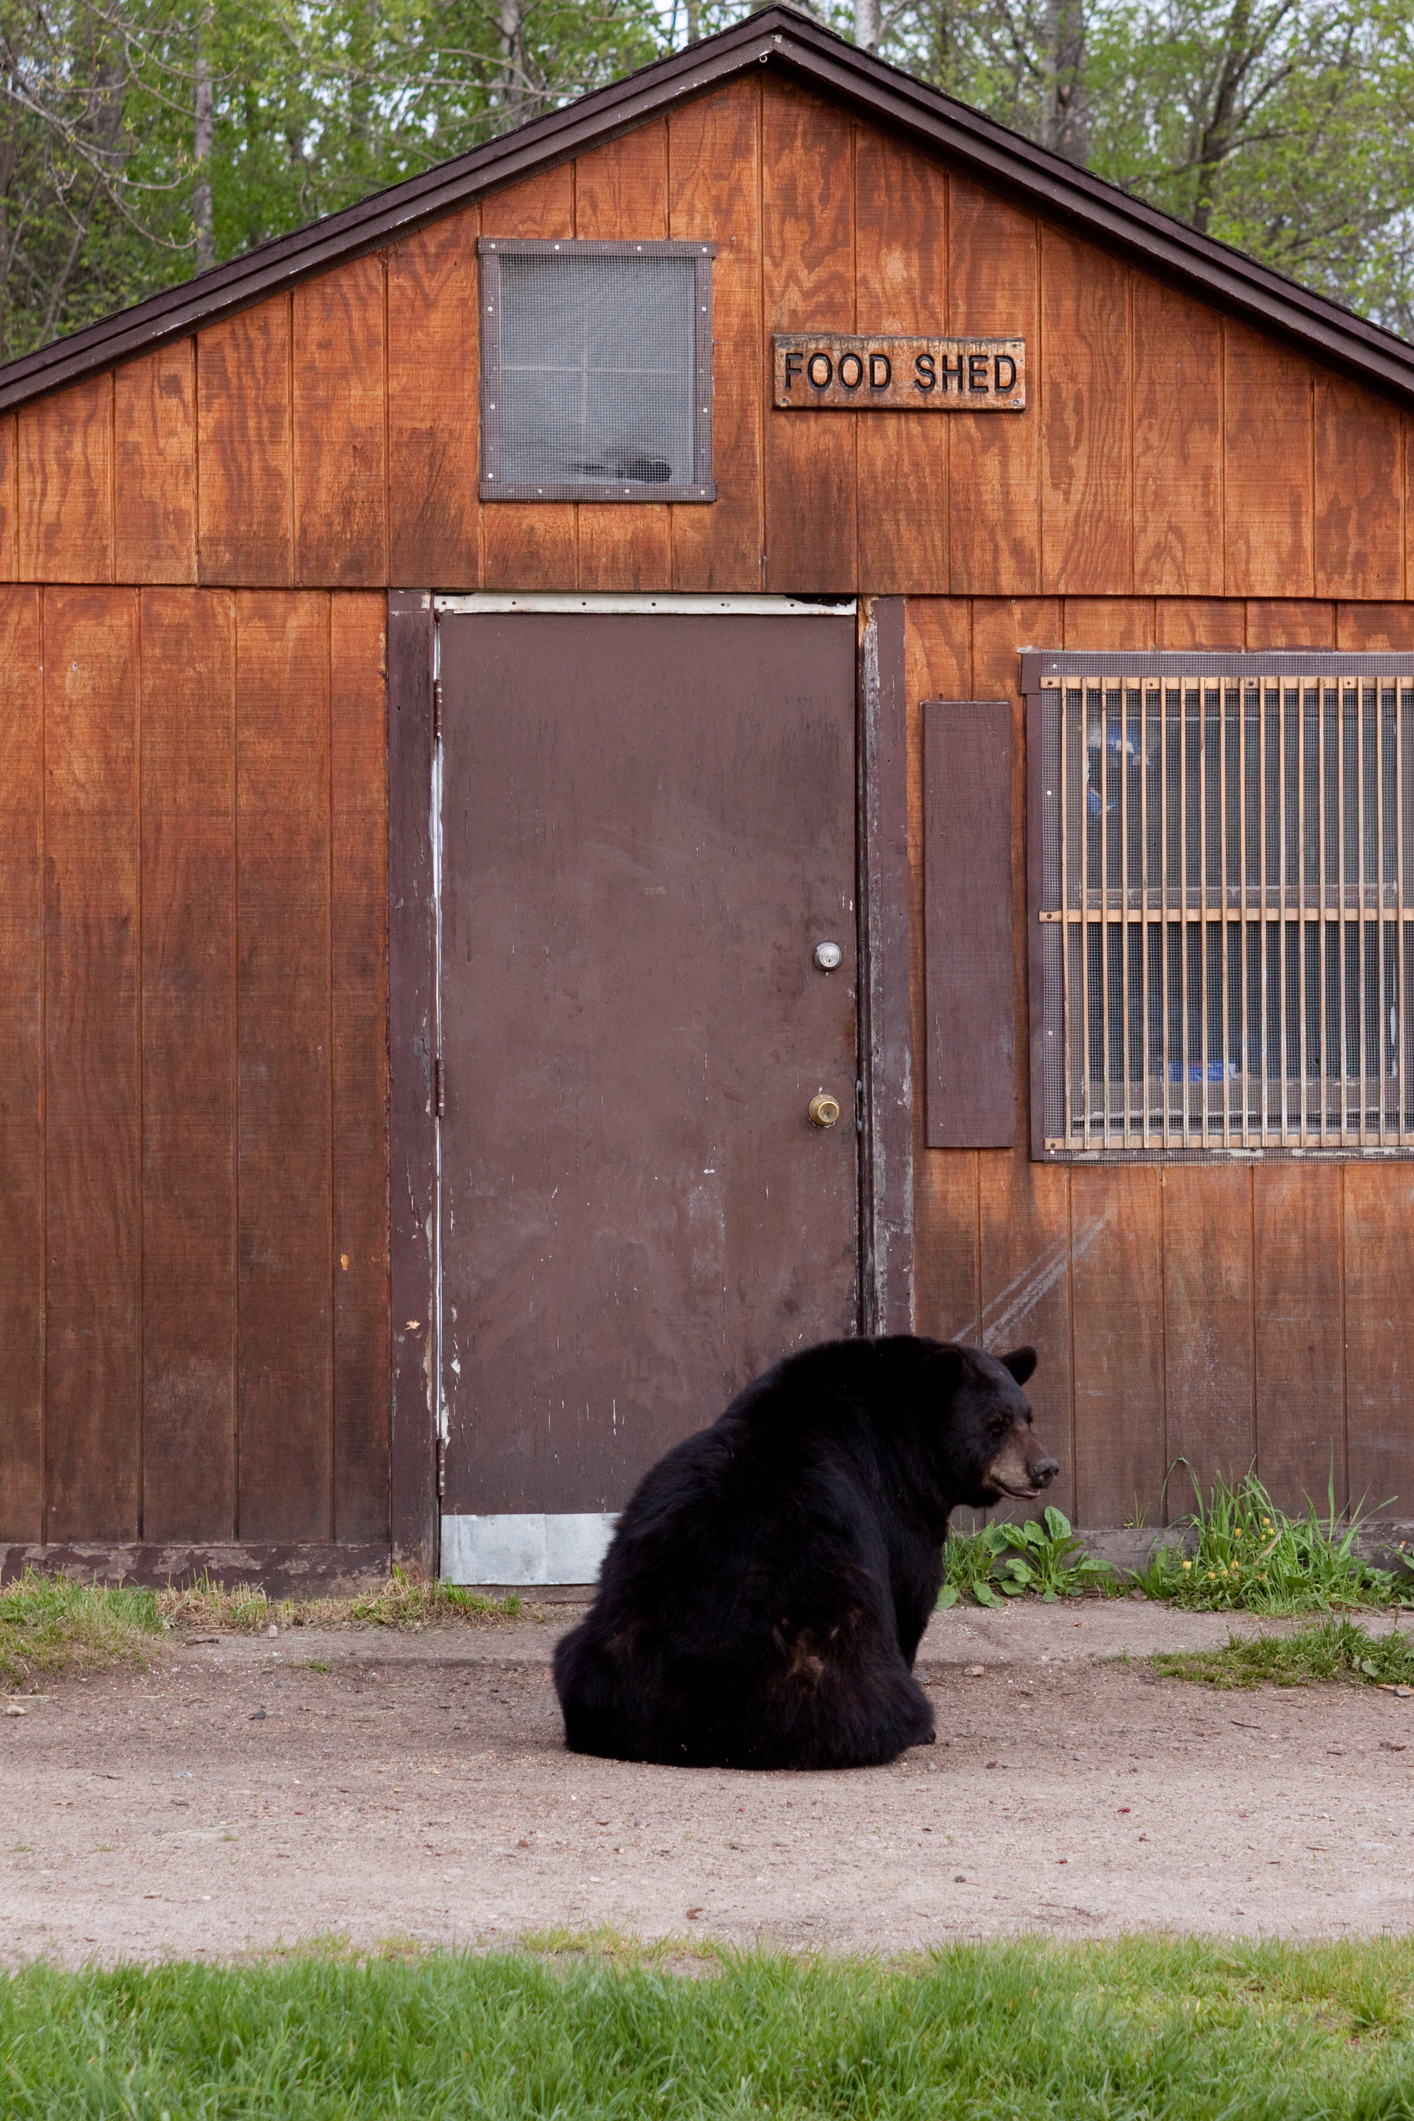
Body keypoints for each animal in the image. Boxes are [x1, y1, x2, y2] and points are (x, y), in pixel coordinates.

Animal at [552, 1334, 1058, 1771]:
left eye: (1029, 1417)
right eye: (995, 1427)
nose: (1045, 1467)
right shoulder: (898, 1510)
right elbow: (911, 1593)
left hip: (600, 1647)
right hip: (822, 1667)